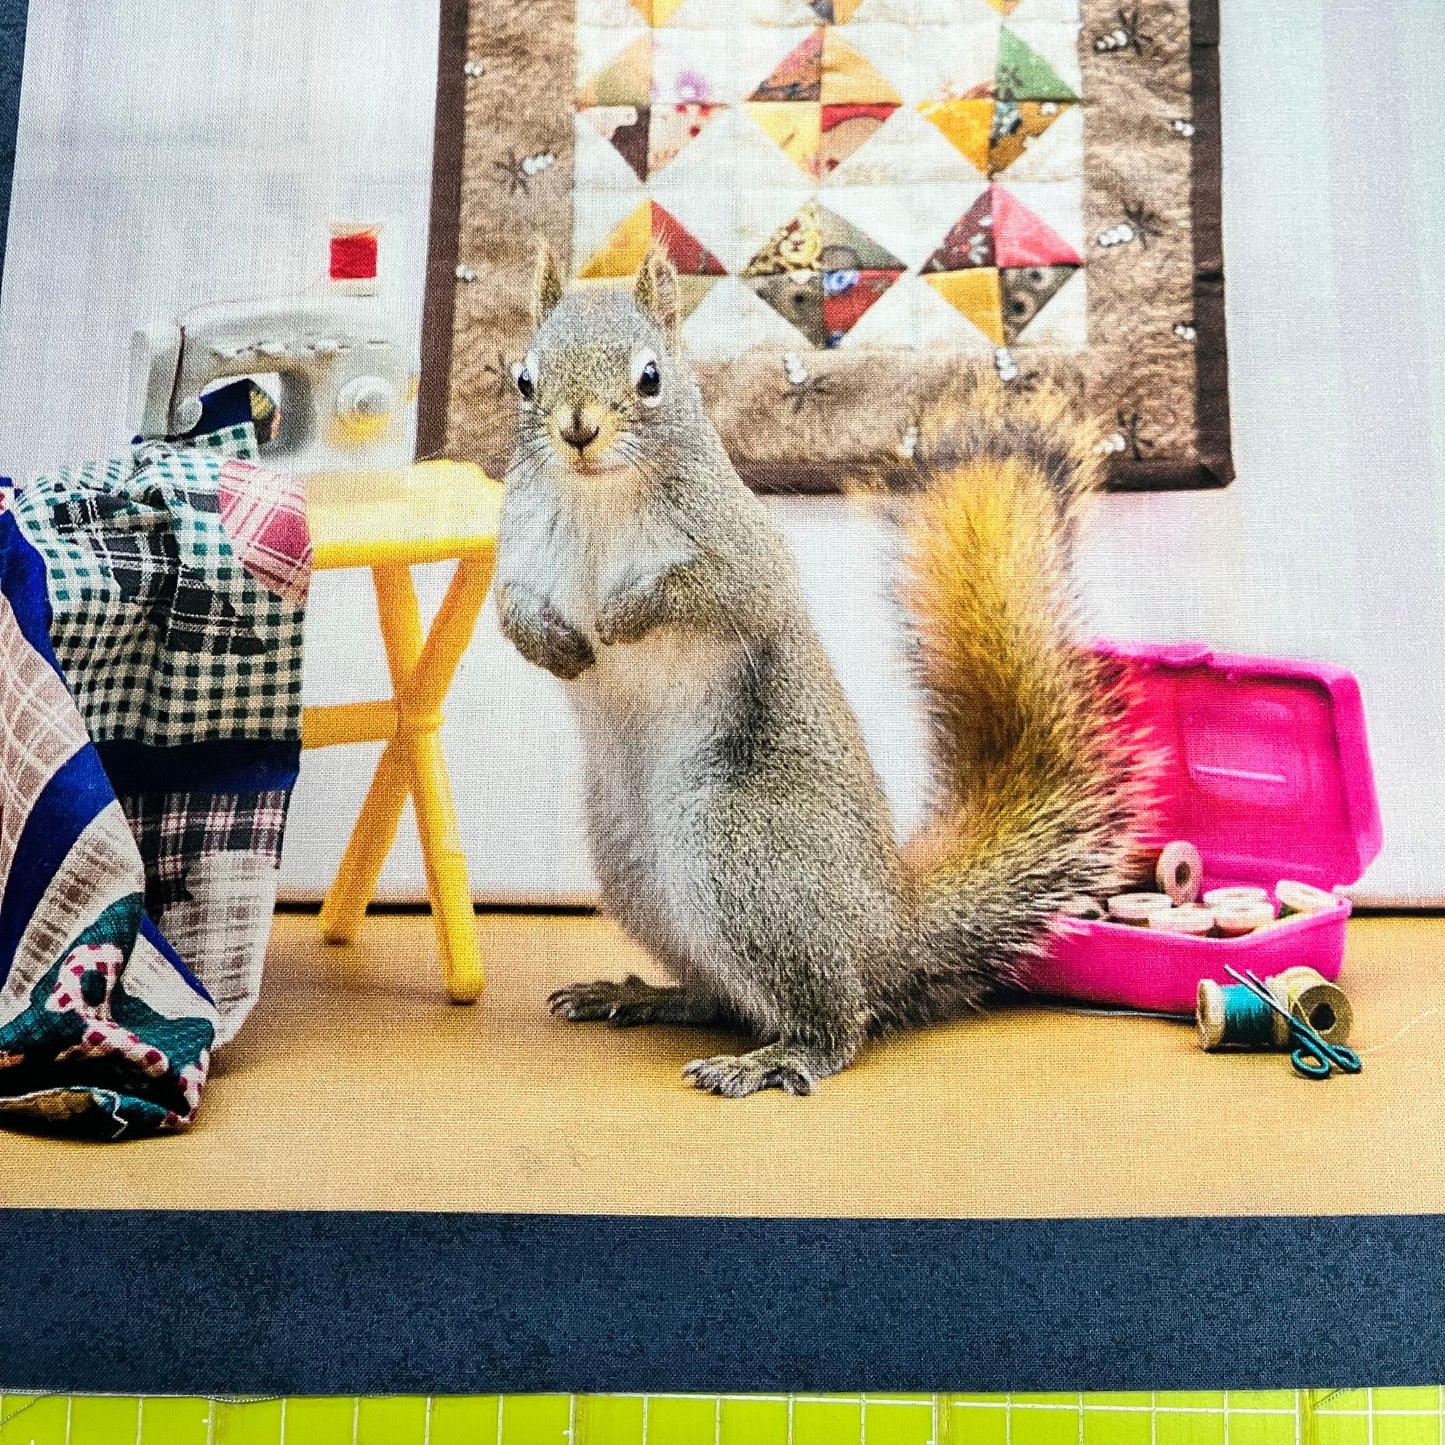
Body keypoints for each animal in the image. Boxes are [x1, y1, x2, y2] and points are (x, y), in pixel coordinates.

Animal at [492, 243, 1149, 1098]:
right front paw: (557, 646)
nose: (577, 430)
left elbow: (720, 592)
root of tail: (891, 931)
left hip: (745, 853)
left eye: (650, 377)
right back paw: (642, 994)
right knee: (722, 991)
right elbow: (510, 613)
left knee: (837, 1021)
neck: (596, 497)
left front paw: (623, 617)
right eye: (523, 378)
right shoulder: (517, 557)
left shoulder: (743, 552)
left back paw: (779, 1056)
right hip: (638, 871)